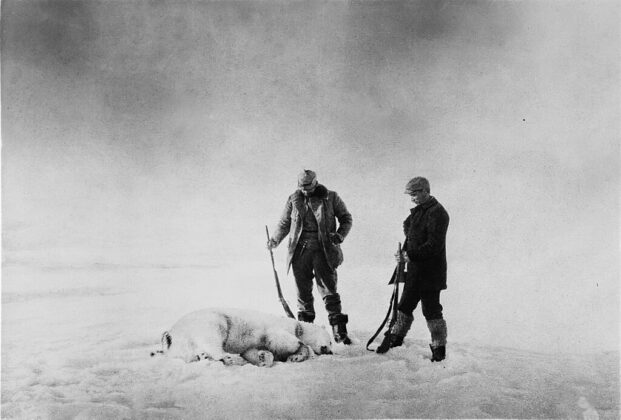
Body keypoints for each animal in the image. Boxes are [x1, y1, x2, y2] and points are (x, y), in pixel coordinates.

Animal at [152, 308, 332, 368]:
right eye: (330, 341)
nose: (329, 351)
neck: (296, 325)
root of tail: (171, 333)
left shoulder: (253, 344)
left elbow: (252, 351)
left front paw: (263, 358)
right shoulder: (277, 328)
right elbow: (282, 339)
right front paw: (297, 354)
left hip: (183, 343)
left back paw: (203, 356)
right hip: (212, 321)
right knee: (212, 339)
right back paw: (227, 358)